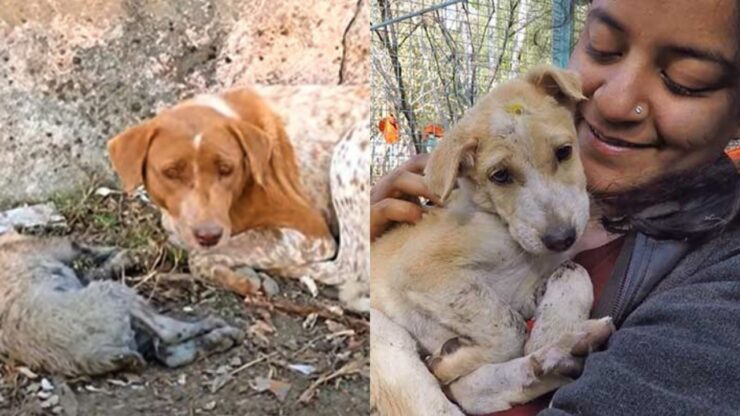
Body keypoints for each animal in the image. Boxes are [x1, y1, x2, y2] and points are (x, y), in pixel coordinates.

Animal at [0, 231, 244, 376]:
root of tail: (97, 354)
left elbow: (93, 265)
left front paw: (124, 258)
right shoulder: (48, 247)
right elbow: (77, 245)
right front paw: (129, 254)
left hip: (125, 326)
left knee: (167, 352)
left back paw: (221, 339)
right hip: (113, 297)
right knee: (168, 333)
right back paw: (214, 326)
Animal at [107, 87, 370, 312]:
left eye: (226, 169)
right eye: (171, 172)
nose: (208, 235)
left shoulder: (309, 235)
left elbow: (199, 256)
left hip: (347, 151)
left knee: (348, 266)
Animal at [372, 66, 616, 414]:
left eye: (564, 152)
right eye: (500, 175)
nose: (562, 239)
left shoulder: (524, 291)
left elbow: (574, 272)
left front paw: (551, 331)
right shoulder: (421, 269)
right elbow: (510, 330)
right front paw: (452, 361)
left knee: (471, 392)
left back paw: (561, 352)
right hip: (386, 339)